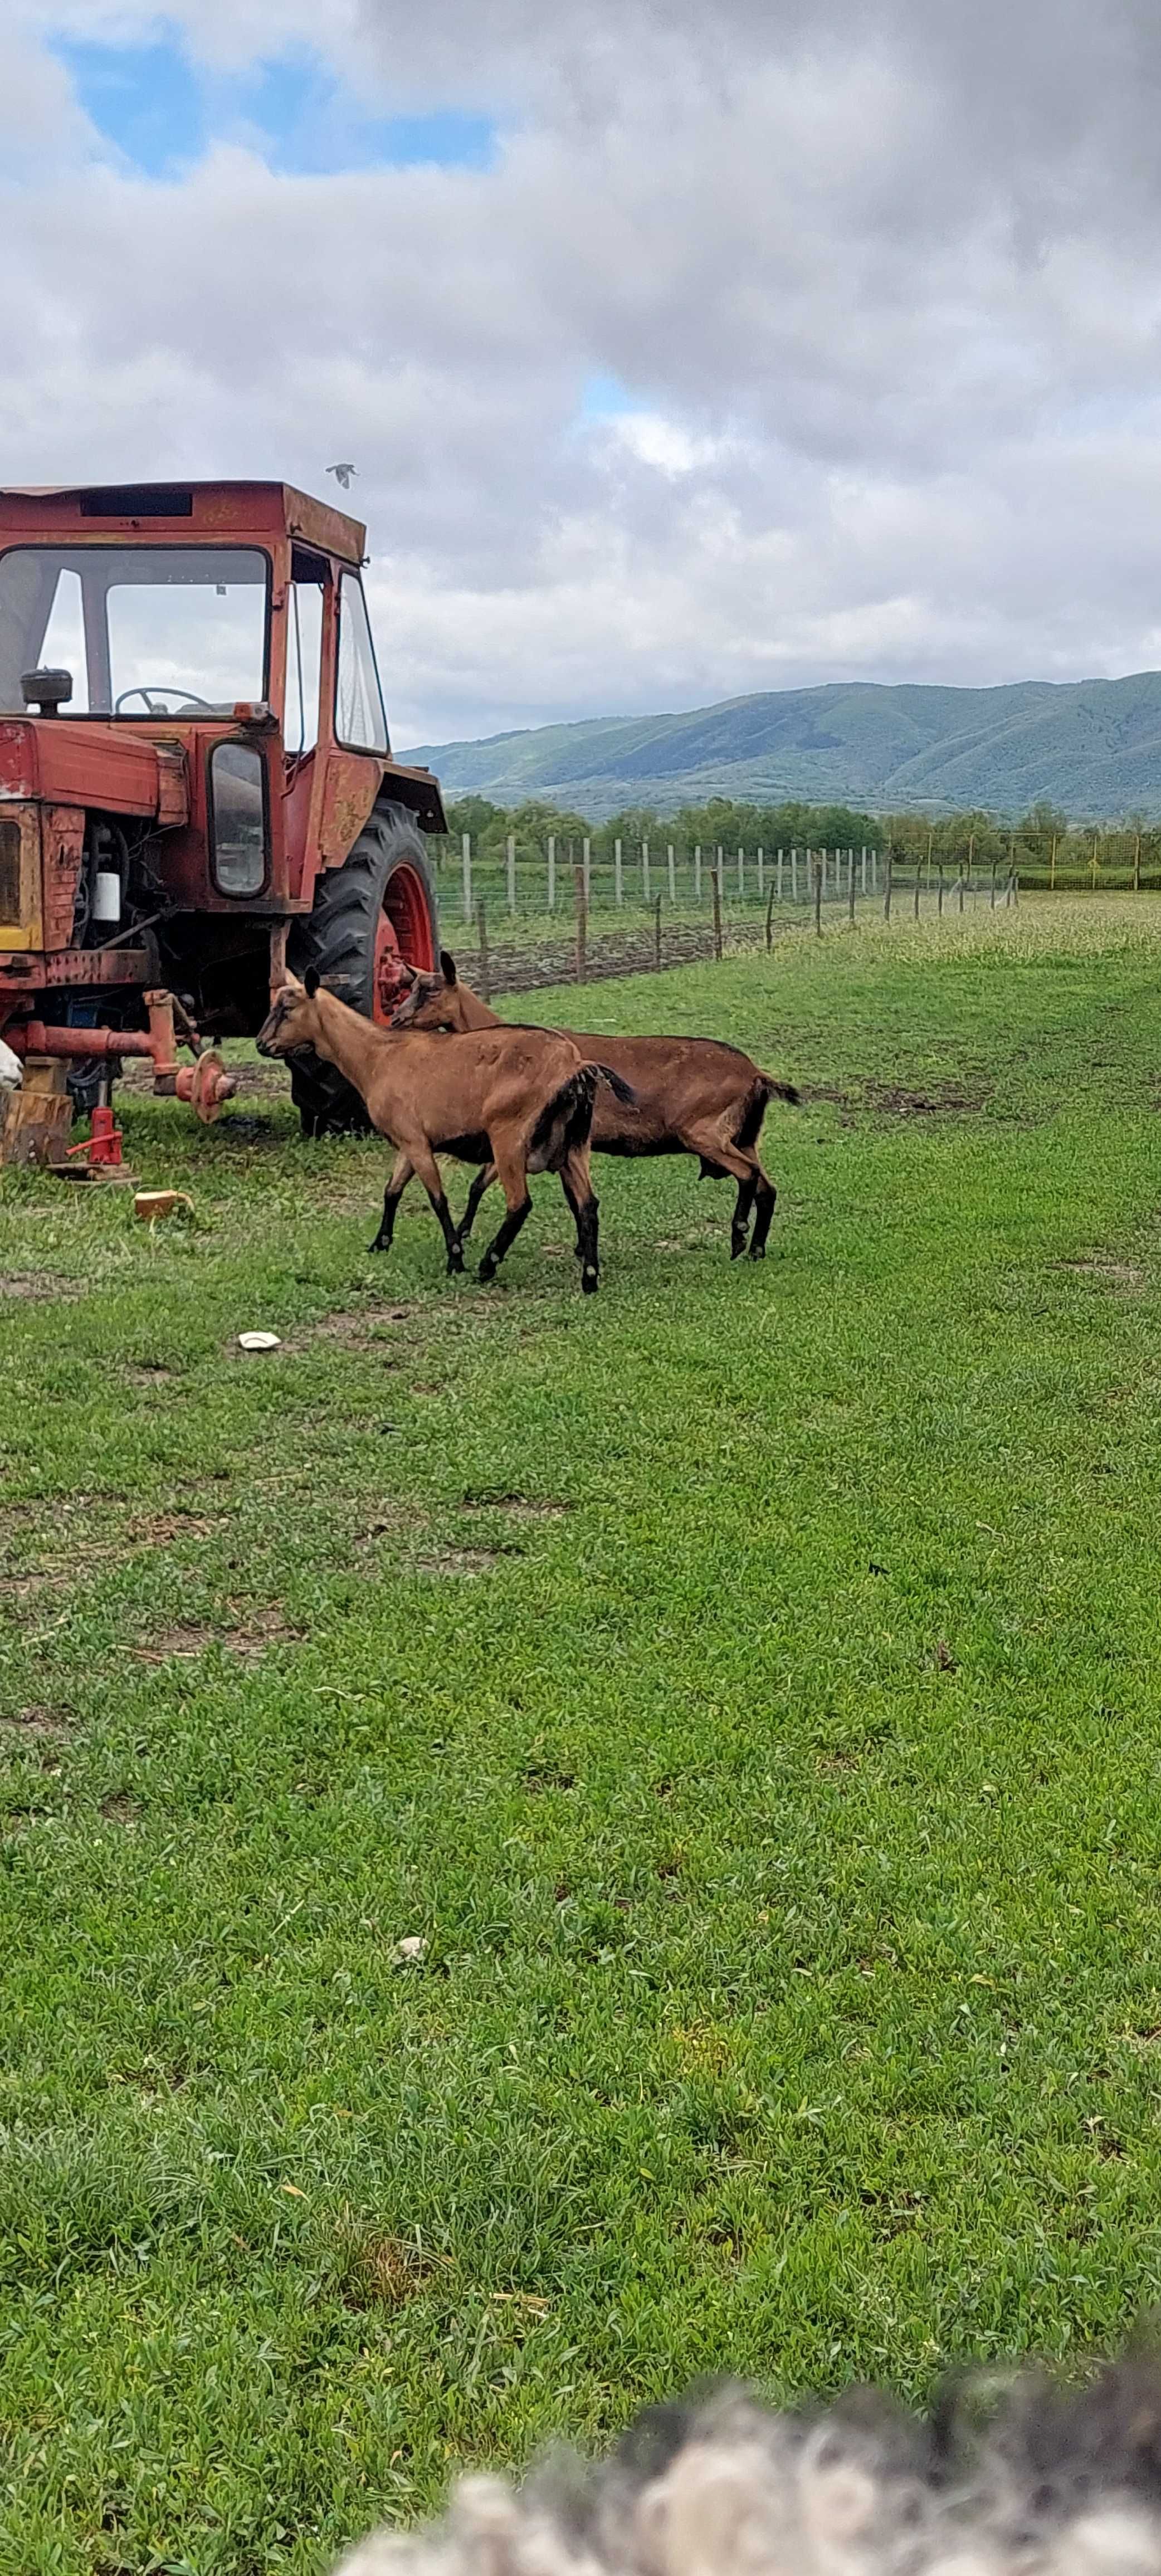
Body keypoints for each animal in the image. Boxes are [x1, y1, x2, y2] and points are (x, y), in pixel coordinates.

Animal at [257, 968, 636, 1288]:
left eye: (287, 1008)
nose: (262, 1045)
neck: (379, 1057)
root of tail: (576, 1065)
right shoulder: (408, 1143)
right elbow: (391, 1191)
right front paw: (380, 1243)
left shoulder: (416, 1141)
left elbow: (437, 1199)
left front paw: (456, 1258)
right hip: (574, 1145)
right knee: (588, 1205)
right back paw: (589, 1277)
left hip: (509, 1137)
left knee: (520, 1203)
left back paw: (488, 1265)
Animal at [391, 953, 798, 1262]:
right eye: (411, 986)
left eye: (430, 990)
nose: (396, 1020)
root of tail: (756, 1074)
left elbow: (483, 1185)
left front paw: (464, 1234)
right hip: (744, 1136)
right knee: (767, 1187)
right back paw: (756, 1250)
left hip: (705, 1132)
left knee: (747, 1175)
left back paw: (739, 1238)